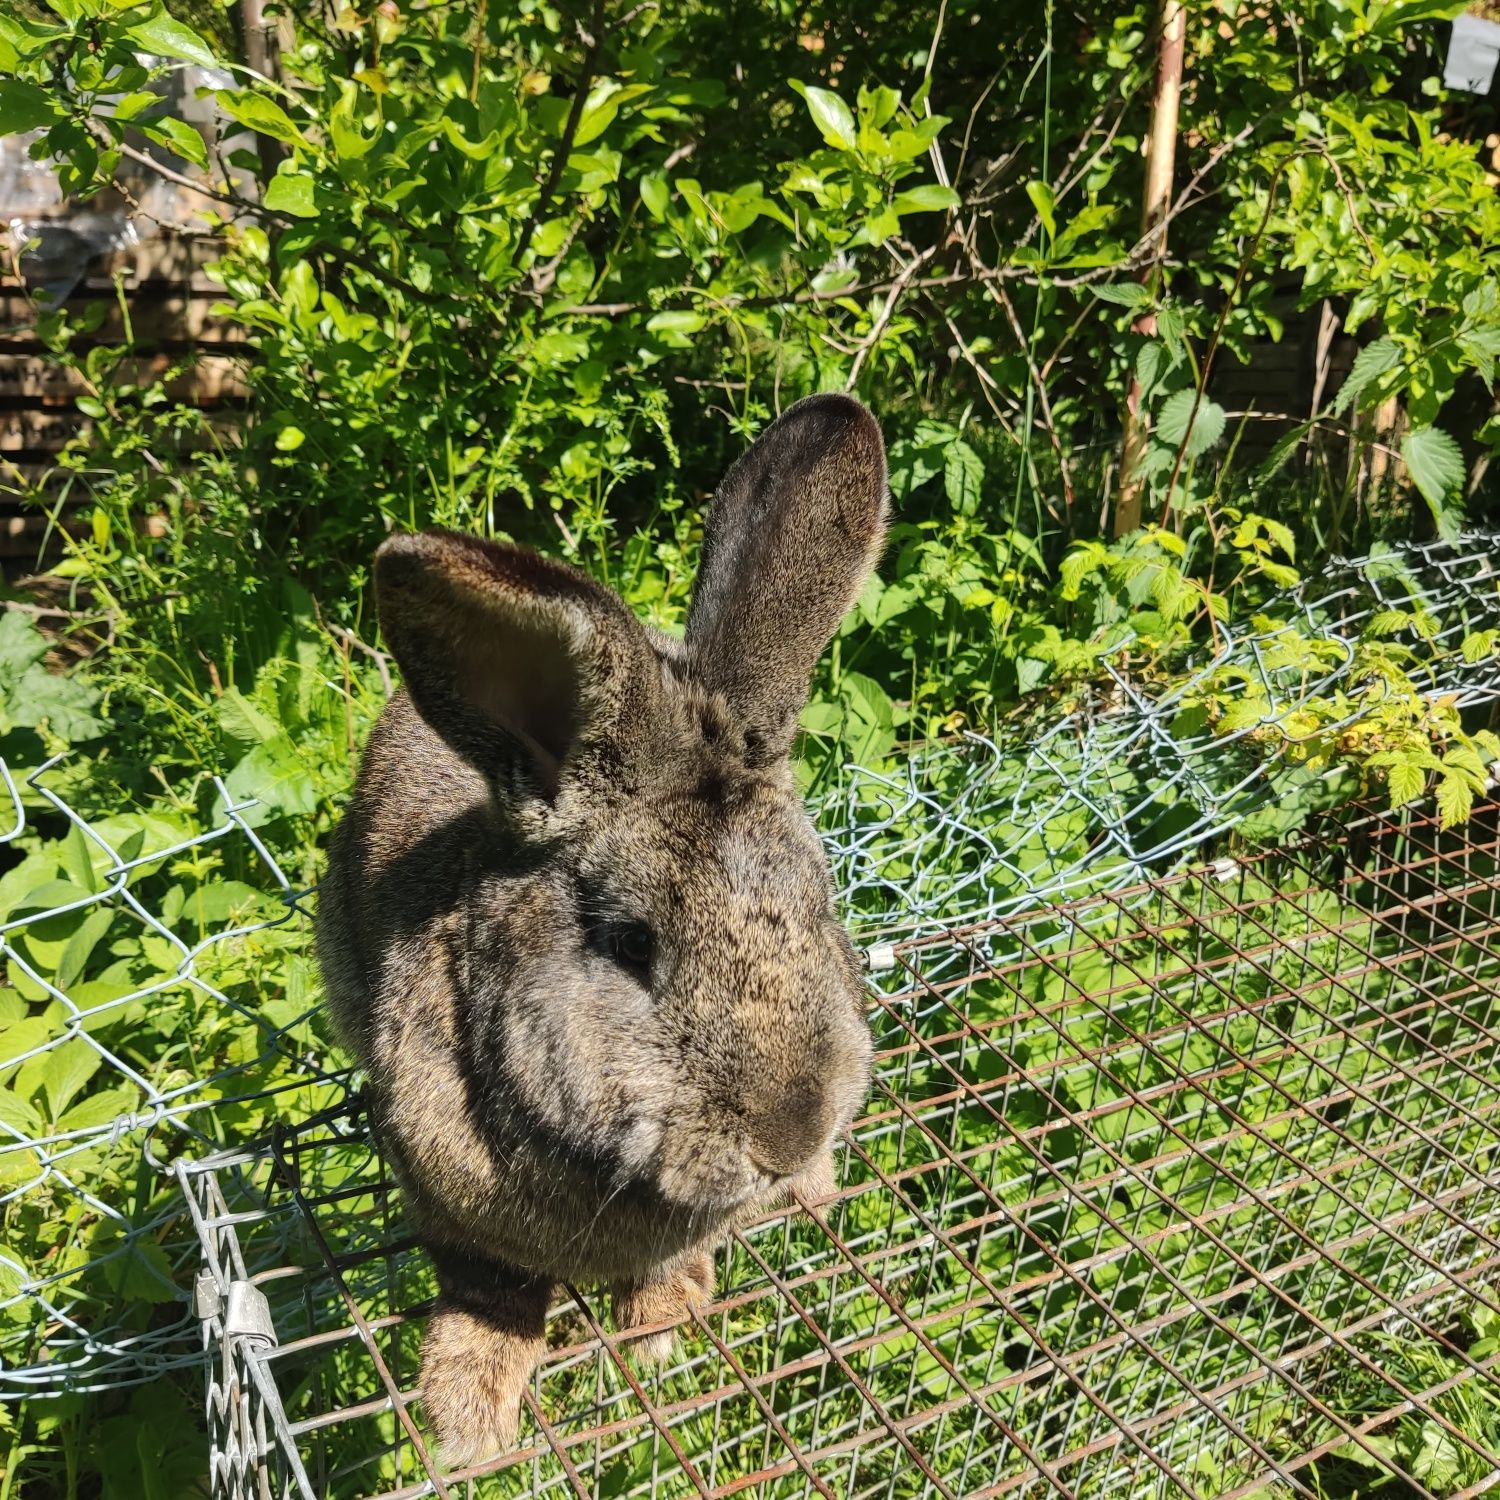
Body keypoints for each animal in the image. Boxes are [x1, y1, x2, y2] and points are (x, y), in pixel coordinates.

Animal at [310, 393, 882, 1470]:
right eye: (630, 943)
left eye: (824, 902)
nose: (793, 1132)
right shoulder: (438, 1197)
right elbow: (489, 1292)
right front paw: (467, 1423)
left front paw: (660, 1330)